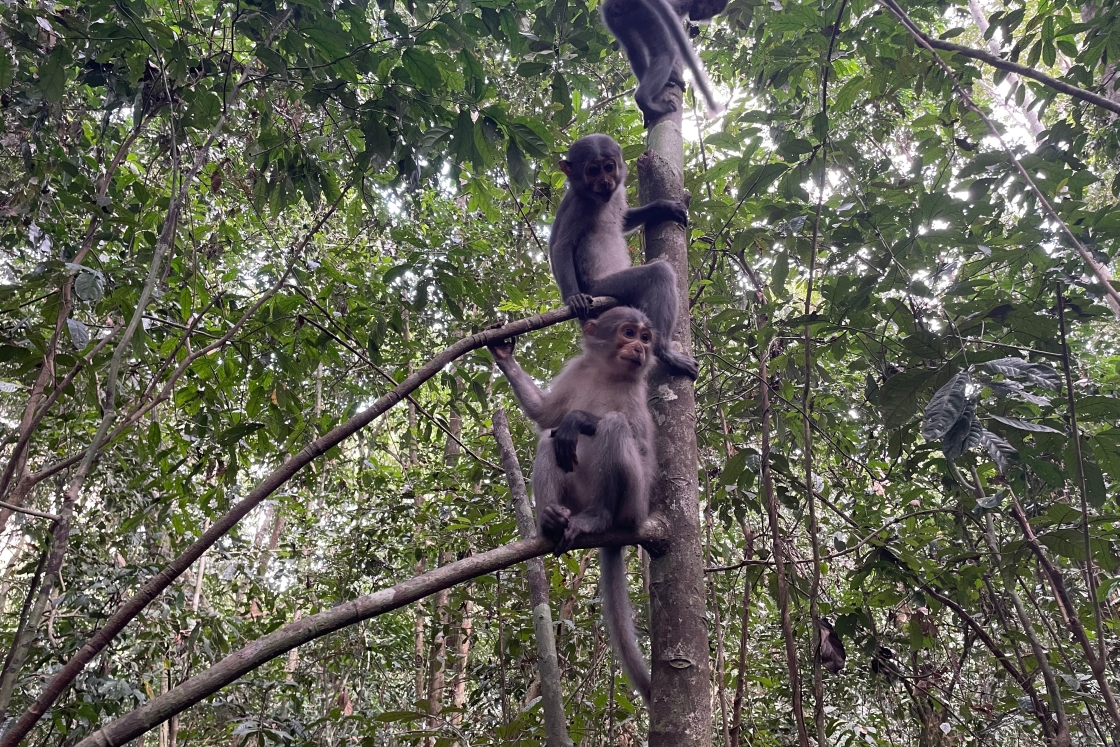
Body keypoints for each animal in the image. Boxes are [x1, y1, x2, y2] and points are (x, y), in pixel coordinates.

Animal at [488, 306, 656, 703]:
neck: (609, 372)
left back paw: (598, 517)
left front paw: (579, 419)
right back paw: (551, 519)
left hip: (634, 503)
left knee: (613, 427)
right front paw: (504, 356)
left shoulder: (637, 392)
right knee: (550, 440)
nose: (641, 349)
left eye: (645, 337)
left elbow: (641, 445)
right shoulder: (578, 369)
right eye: (630, 333)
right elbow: (546, 416)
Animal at [550, 134, 699, 380]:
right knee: (659, 273)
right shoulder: (579, 205)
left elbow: (625, 219)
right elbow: (561, 246)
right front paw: (573, 297)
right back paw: (664, 351)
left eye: (609, 167)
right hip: (602, 289)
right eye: (593, 171)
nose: (604, 181)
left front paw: (664, 207)